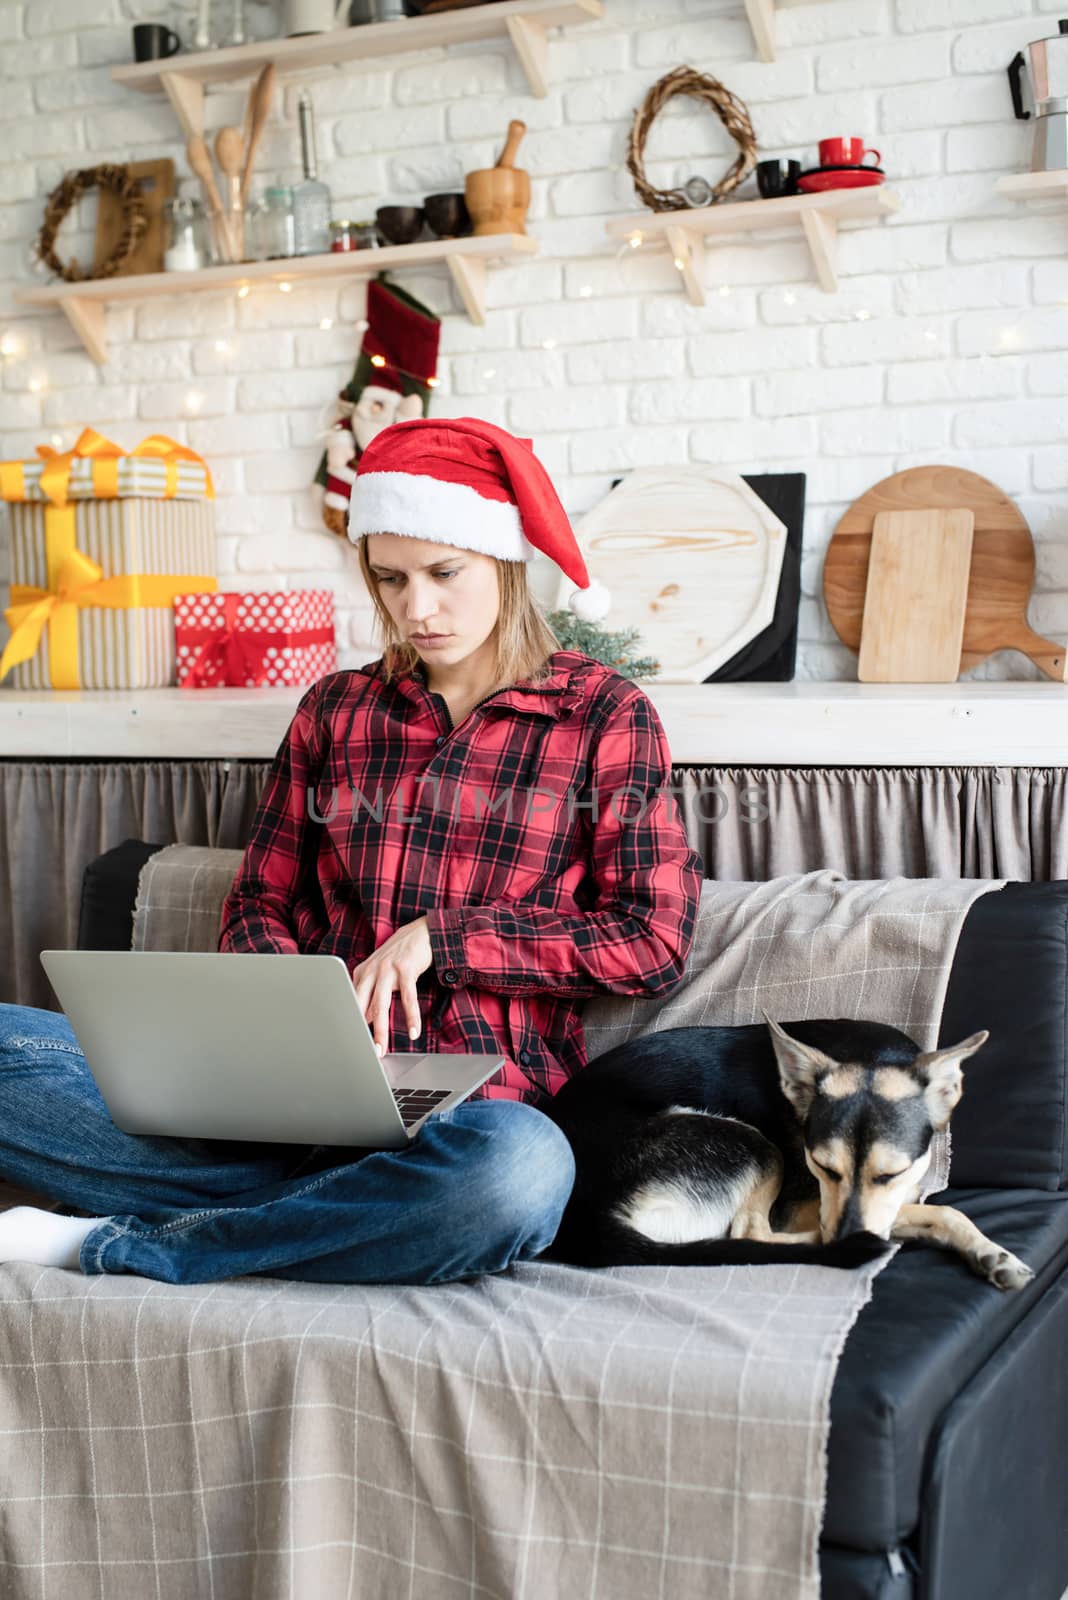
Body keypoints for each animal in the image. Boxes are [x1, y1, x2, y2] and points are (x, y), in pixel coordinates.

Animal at [543, 1017, 1036, 1292]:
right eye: (822, 1166)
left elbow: (922, 1208)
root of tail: (582, 1220)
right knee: (751, 1232)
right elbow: (944, 1211)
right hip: (751, 1144)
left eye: (889, 1174)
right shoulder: (802, 1207)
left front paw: (989, 1254)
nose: (842, 1241)